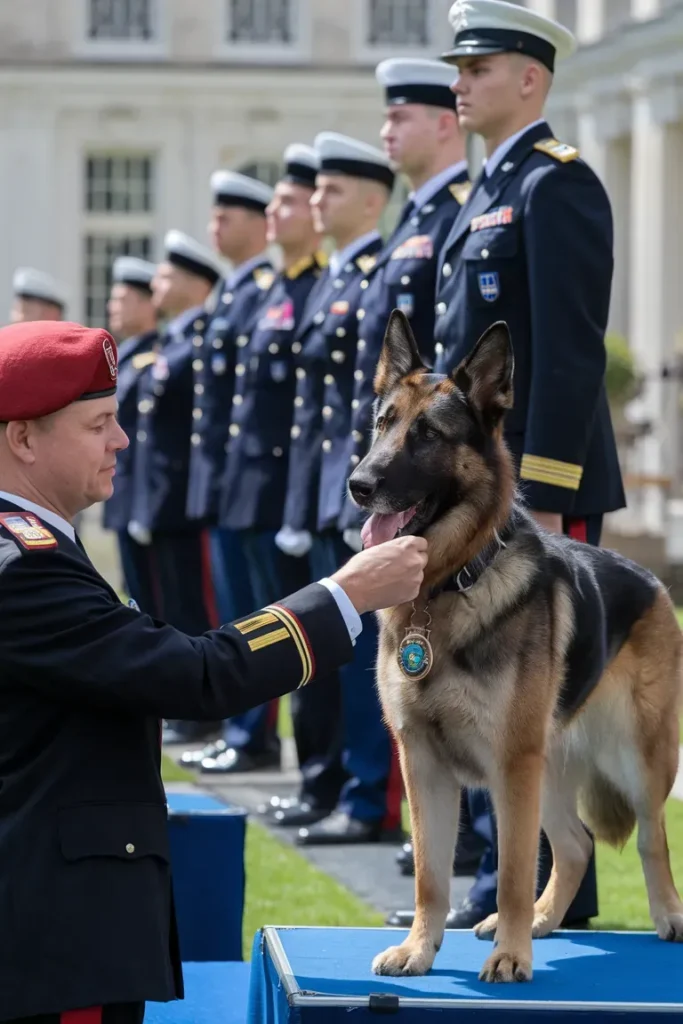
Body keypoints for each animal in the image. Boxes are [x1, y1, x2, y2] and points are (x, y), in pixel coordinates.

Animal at [350, 311, 679, 983]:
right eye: (383, 423)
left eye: (428, 435)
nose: (358, 484)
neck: (448, 586)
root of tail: (653, 581)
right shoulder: (422, 763)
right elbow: (430, 876)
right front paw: (420, 948)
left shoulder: (509, 766)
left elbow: (511, 873)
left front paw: (510, 955)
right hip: (549, 766)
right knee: (576, 845)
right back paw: (543, 920)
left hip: (633, 758)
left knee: (650, 837)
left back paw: (664, 916)